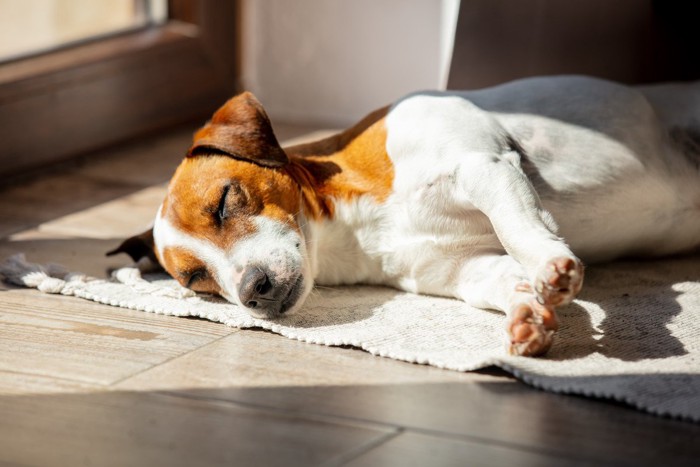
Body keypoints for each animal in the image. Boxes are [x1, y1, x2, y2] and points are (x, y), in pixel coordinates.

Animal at [109, 75, 700, 356]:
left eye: (225, 200)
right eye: (197, 280)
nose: (253, 290)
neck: (359, 227)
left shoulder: (485, 166)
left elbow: (520, 229)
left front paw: (551, 265)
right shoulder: (465, 269)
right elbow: (504, 278)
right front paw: (527, 316)